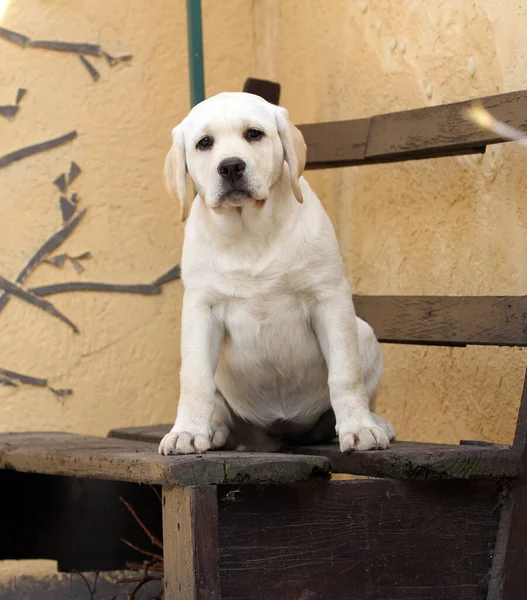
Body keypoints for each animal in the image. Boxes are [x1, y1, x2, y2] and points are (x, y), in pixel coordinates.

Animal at [160, 91, 396, 454]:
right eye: (204, 143)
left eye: (254, 134)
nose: (231, 166)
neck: (249, 231)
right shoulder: (201, 308)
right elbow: (196, 378)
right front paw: (186, 431)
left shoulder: (328, 298)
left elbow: (345, 373)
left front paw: (359, 427)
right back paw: (213, 429)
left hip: (364, 332)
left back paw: (373, 421)